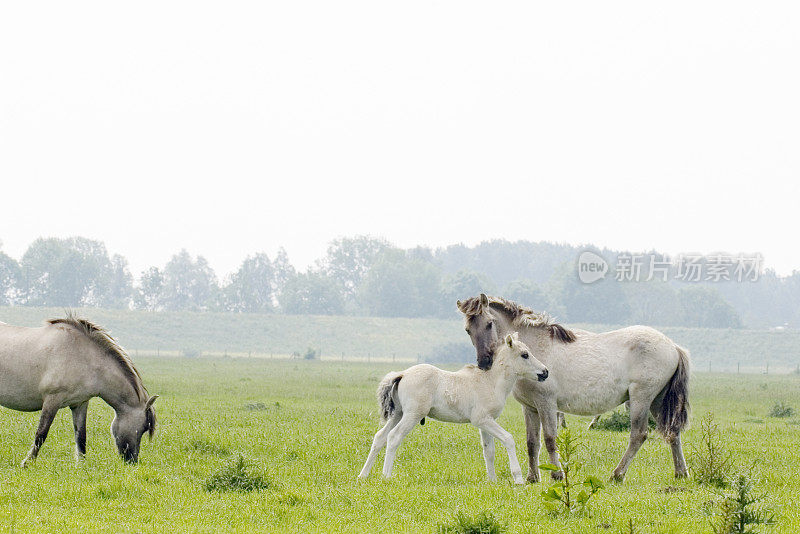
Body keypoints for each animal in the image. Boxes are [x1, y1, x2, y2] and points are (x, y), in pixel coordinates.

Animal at [0, 316, 159, 466]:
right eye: (143, 428)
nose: (132, 461)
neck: (83, 357)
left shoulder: (80, 403)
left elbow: (81, 436)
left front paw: (81, 465)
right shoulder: (52, 400)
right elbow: (41, 434)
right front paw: (27, 463)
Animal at [360, 336, 552, 486]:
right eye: (525, 355)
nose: (545, 372)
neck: (490, 382)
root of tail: (402, 374)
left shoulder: (486, 423)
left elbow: (489, 451)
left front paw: (492, 480)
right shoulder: (482, 420)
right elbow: (508, 439)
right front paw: (518, 478)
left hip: (397, 414)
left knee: (380, 437)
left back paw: (363, 475)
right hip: (412, 415)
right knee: (394, 437)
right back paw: (386, 476)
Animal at [460, 296, 692, 484]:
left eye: (489, 324)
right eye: (468, 330)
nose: (484, 362)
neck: (535, 350)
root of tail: (673, 346)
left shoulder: (546, 404)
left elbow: (550, 439)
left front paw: (556, 474)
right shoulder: (530, 408)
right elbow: (532, 443)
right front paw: (532, 477)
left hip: (640, 399)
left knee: (638, 435)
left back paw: (617, 475)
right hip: (657, 401)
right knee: (673, 433)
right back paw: (681, 473)